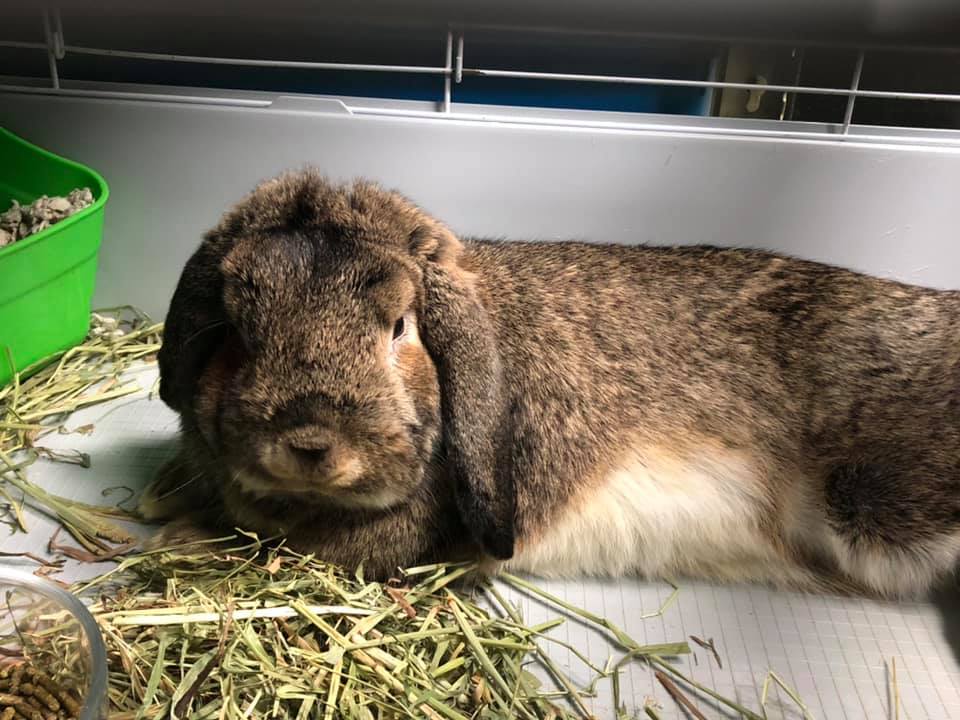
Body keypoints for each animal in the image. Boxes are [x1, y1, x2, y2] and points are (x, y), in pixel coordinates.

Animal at [139, 167, 960, 599]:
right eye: (237, 327)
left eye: (401, 327)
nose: (310, 443)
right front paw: (163, 503)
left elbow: (275, 553)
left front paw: (178, 541)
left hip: (879, 502)